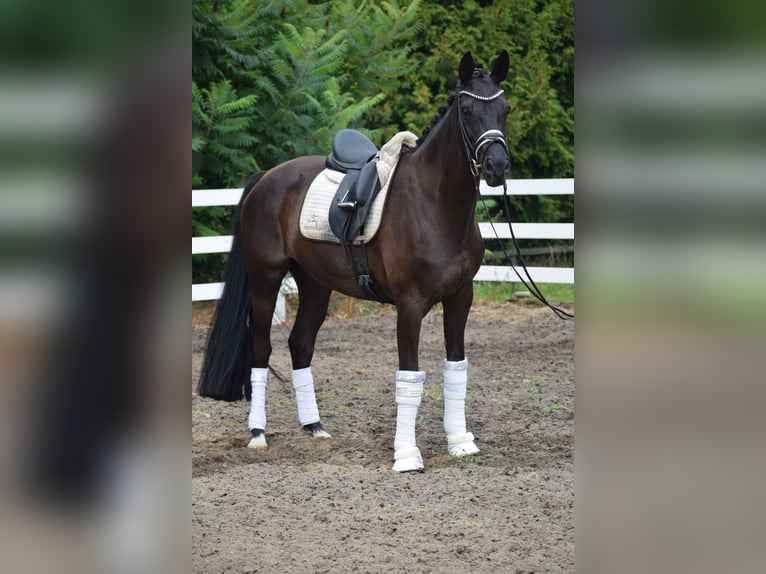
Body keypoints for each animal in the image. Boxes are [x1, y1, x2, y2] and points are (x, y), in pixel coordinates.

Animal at [198, 50, 512, 472]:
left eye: (505, 109)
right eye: (467, 109)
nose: (497, 167)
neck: (434, 205)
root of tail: (267, 178)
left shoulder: (461, 298)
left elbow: (456, 368)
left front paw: (460, 441)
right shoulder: (410, 305)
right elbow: (409, 377)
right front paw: (406, 455)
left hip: (314, 284)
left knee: (300, 344)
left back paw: (314, 427)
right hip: (265, 281)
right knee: (261, 349)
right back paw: (258, 434)